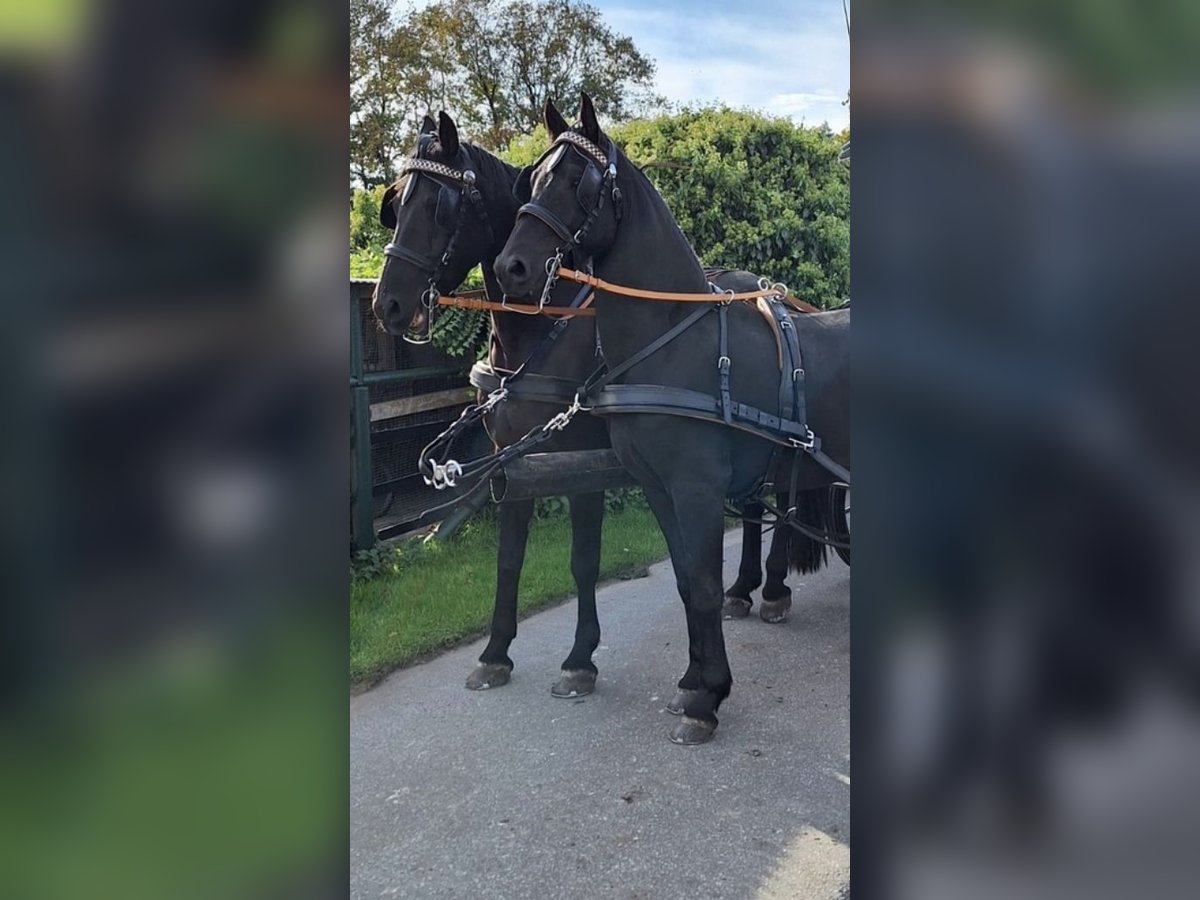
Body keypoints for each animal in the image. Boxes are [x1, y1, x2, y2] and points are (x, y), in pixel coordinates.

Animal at [369, 112, 811, 700]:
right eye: (396, 203)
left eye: (440, 205)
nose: (387, 304)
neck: (542, 333)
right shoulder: (513, 461)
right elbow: (509, 560)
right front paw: (495, 653)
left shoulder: (581, 464)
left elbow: (584, 561)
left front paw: (580, 659)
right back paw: (743, 588)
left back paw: (776, 588)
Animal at [492, 97, 849, 748]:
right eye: (530, 180)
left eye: (577, 181)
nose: (513, 267)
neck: (673, 343)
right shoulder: (660, 489)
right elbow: (686, 584)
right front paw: (692, 681)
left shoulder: (697, 489)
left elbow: (705, 586)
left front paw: (708, 698)